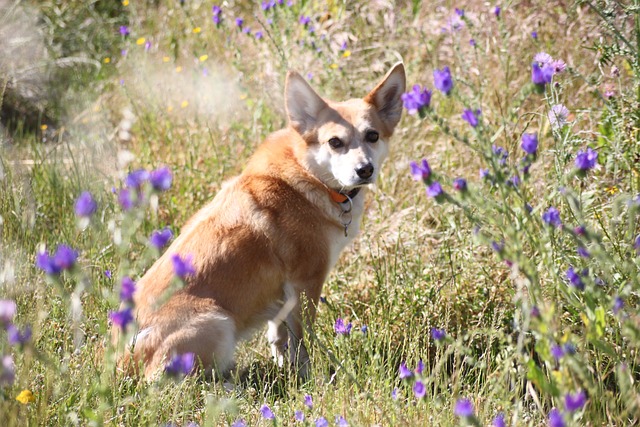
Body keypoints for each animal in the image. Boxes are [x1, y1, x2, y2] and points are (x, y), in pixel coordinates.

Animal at [114, 62, 404, 378]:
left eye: (372, 136)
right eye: (335, 142)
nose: (365, 170)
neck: (308, 177)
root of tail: (121, 357)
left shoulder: (283, 296)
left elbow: (278, 337)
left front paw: (285, 368)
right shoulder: (305, 283)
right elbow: (303, 340)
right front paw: (307, 376)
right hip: (219, 322)